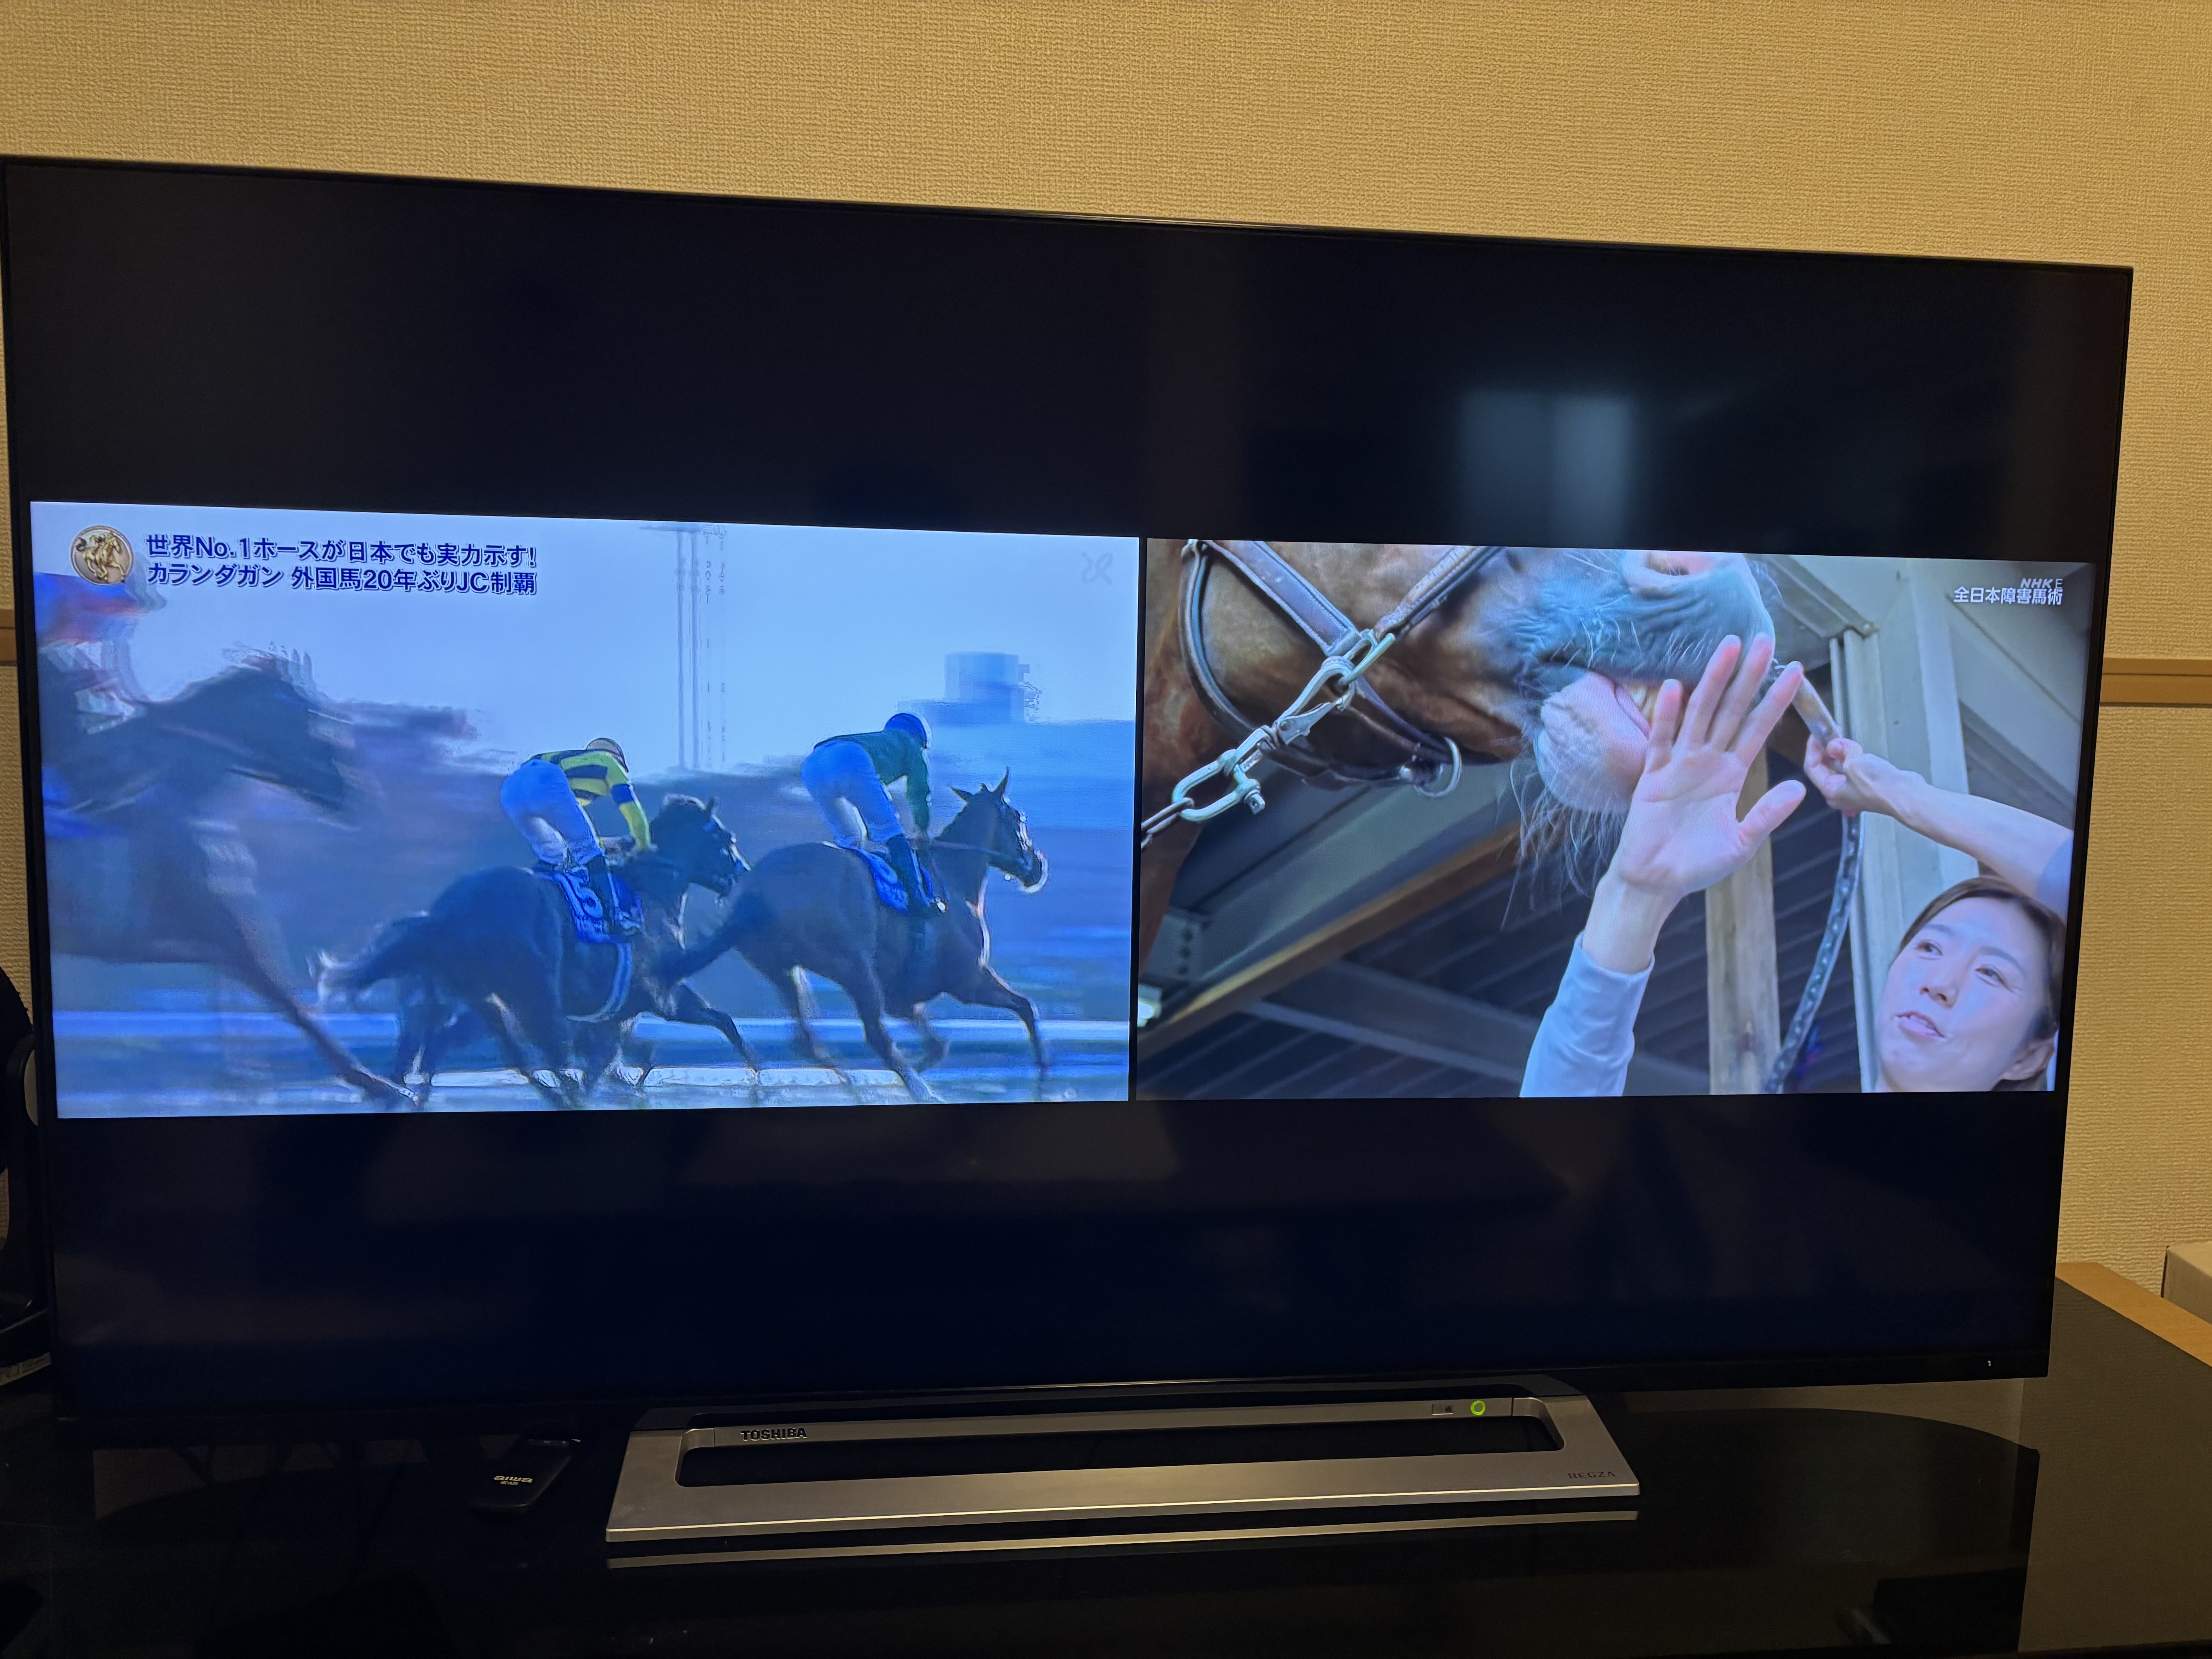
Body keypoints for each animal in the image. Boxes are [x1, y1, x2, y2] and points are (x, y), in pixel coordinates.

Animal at [41, 655, 415, 1108]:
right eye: (316, 723)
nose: (354, 793)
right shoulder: (213, 924)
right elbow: (287, 998)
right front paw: (372, 1081)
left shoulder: (196, 930)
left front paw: (246, 1074)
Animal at [318, 795, 760, 1109]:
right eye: (728, 839)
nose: (745, 874)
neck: (652, 890)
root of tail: (443, 914)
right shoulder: (658, 993)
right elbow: (714, 1023)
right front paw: (756, 1074)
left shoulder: (620, 1013)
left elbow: (644, 1053)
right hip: (532, 992)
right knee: (536, 1055)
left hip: (483, 997)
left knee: (466, 1050)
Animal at [708, 773, 1050, 1101]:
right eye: (1019, 818)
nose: (1038, 866)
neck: (954, 879)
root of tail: (755, 892)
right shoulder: (968, 981)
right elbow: (1026, 1007)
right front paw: (1044, 1069)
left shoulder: (903, 998)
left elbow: (938, 1045)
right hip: (855, 968)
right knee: (875, 1037)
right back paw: (915, 1091)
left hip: (782, 970)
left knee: (805, 1040)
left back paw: (851, 1080)